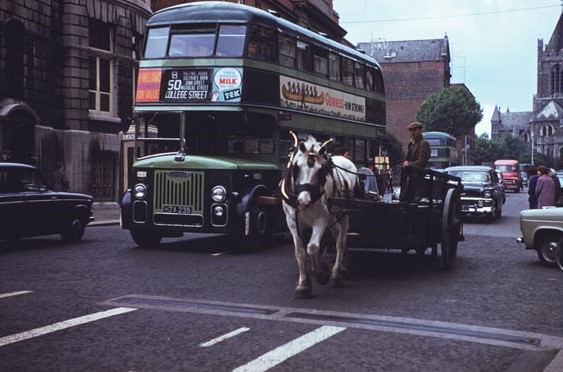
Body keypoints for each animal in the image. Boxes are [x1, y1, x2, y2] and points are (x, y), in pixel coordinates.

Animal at [280, 132, 360, 298]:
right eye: (297, 167)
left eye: (320, 170)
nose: (303, 201)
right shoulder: (292, 221)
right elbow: (300, 252)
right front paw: (303, 285)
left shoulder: (321, 220)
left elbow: (312, 247)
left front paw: (321, 274)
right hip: (333, 217)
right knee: (336, 237)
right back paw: (341, 268)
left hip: (344, 215)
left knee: (340, 242)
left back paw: (336, 274)